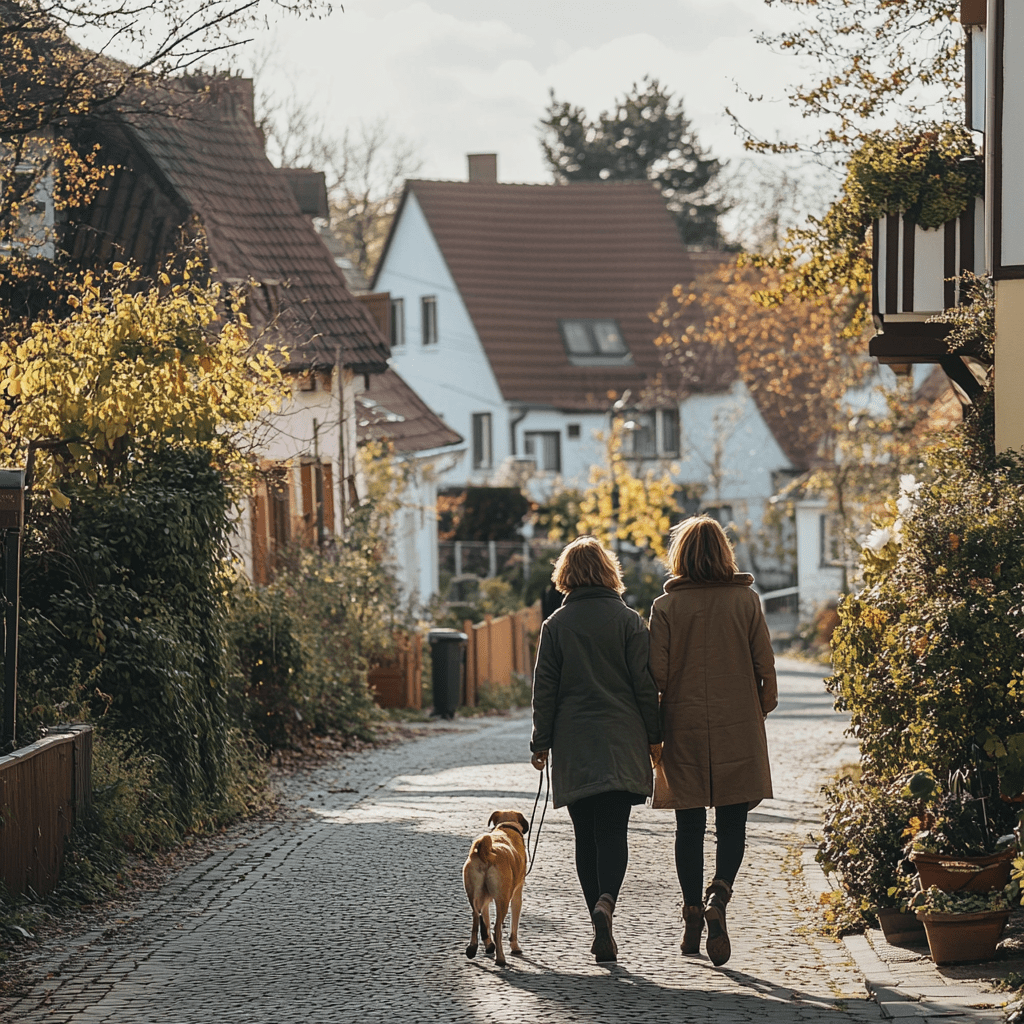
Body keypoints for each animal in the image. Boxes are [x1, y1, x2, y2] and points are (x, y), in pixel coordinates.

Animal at [464, 806, 528, 966]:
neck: (506, 827)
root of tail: (487, 852)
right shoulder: (516, 895)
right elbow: (514, 926)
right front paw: (515, 947)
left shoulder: (485, 899)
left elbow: (484, 920)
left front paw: (488, 945)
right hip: (503, 900)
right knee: (496, 929)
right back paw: (500, 958)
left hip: (474, 894)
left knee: (476, 918)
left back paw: (472, 948)